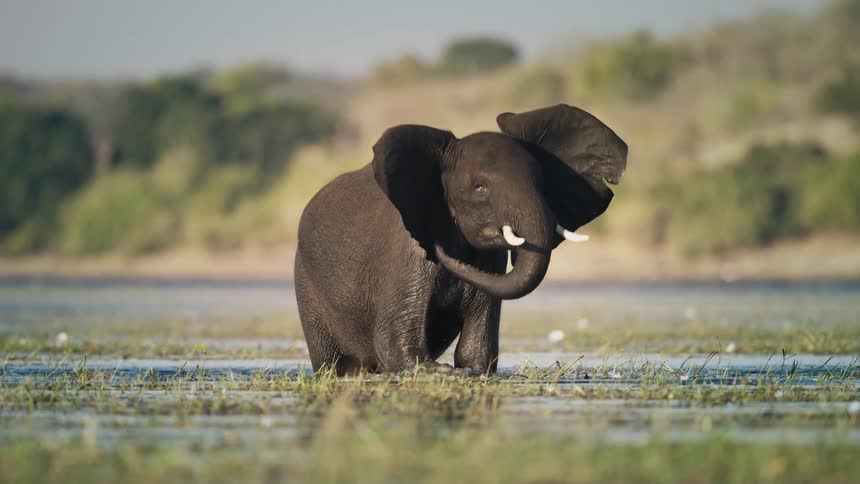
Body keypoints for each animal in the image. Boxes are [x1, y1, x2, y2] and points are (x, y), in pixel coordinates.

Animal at [294, 104, 627, 375]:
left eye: (542, 182)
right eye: (479, 188)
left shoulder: (491, 260)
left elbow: (476, 352)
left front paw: (465, 370)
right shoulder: (405, 252)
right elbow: (393, 345)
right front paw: (443, 372)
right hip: (307, 285)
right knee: (337, 364)